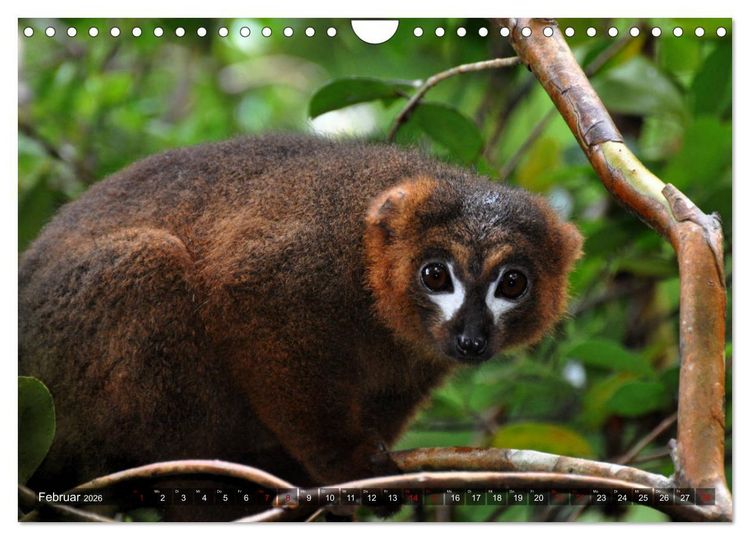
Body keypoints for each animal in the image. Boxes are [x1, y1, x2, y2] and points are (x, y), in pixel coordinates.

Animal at [19, 134, 582, 518]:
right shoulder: (308, 254)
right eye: (436, 275)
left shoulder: (418, 354)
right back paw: (196, 485)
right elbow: (247, 296)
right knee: (147, 261)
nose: (471, 338)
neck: (368, 282)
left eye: (512, 284)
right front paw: (345, 467)